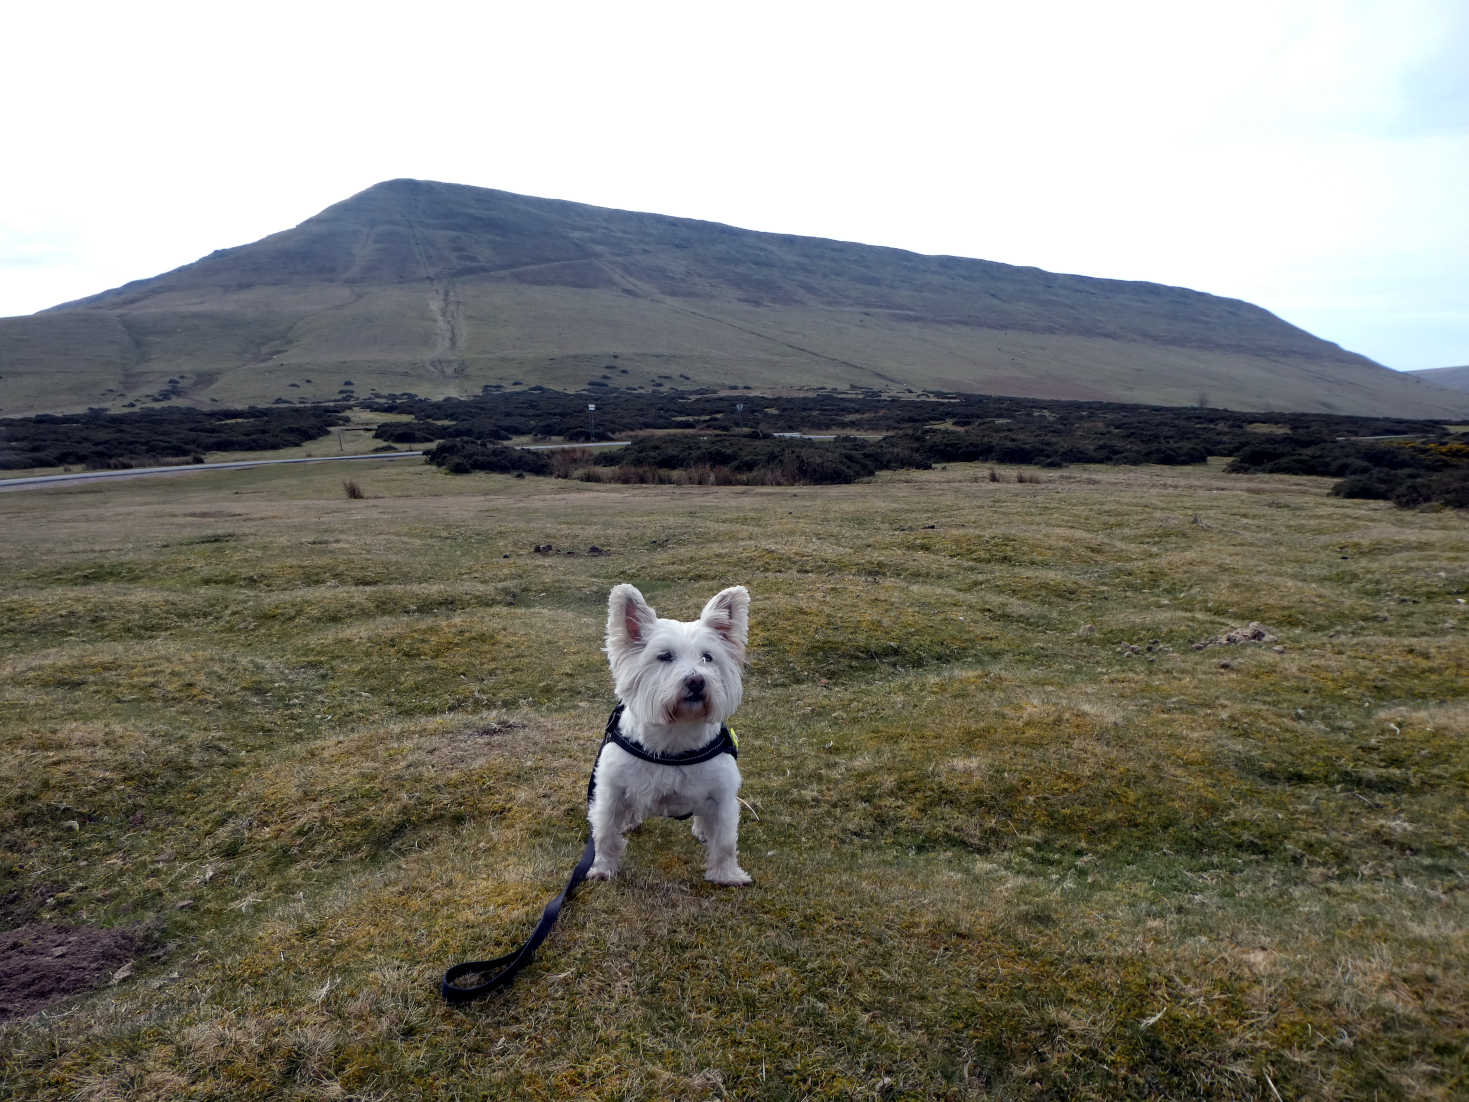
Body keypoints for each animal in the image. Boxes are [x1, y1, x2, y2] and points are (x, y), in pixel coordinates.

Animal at [587, 587, 752, 887]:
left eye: (707, 657)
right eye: (664, 656)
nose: (696, 681)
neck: (675, 737)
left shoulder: (722, 793)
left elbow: (724, 841)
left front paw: (727, 875)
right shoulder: (611, 790)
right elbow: (605, 832)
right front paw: (602, 868)